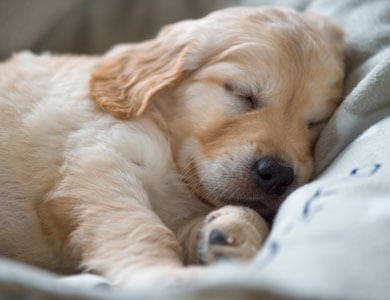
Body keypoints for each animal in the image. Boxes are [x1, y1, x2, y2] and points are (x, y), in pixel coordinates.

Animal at [0, 6, 342, 286]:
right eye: (244, 95)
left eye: (314, 122)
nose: (278, 174)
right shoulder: (100, 160)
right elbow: (139, 227)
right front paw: (162, 276)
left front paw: (233, 231)